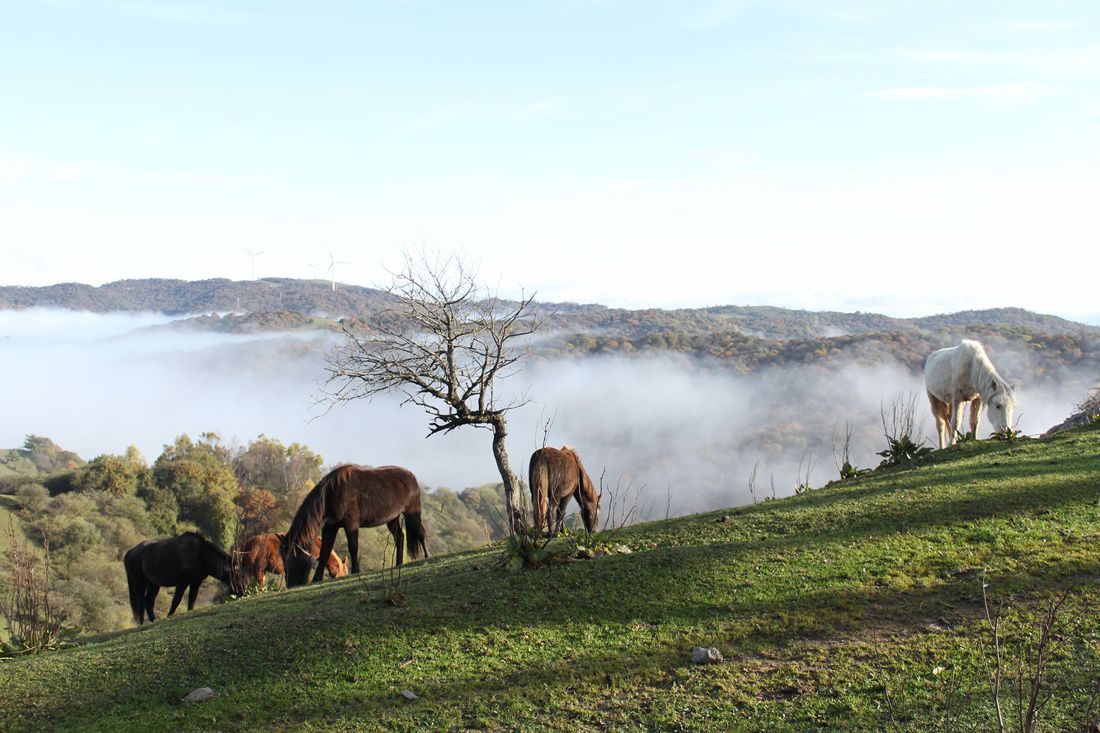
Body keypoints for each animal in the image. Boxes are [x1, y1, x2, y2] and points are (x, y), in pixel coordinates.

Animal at [279, 462, 429, 589]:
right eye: (284, 561)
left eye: (292, 560)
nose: (291, 585)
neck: (332, 492)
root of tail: (411, 476)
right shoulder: (330, 527)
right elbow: (325, 552)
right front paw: (317, 578)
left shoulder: (351, 524)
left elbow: (353, 547)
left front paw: (355, 571)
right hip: (392, 518)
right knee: (399, 537)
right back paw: (398, 564)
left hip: (412, 512)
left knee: (421, 533)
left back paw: (427, 557)